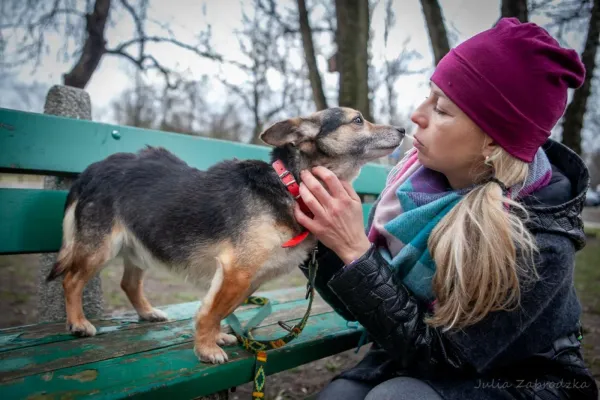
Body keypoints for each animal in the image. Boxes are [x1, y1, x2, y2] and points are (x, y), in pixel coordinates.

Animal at [45, 106, 404, 362]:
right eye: (358, 120)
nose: (403, 129)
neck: (289, 184)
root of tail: (92, 169)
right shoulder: (237, 271)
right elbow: (212, 311)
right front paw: (206, 349)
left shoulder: (248, 279)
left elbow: (221, 310)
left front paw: (215, 337)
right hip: (100, 247)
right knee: (71, 280)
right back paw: (78, 323)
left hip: (140, 244)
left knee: (128, 283)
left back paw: (147, 312)